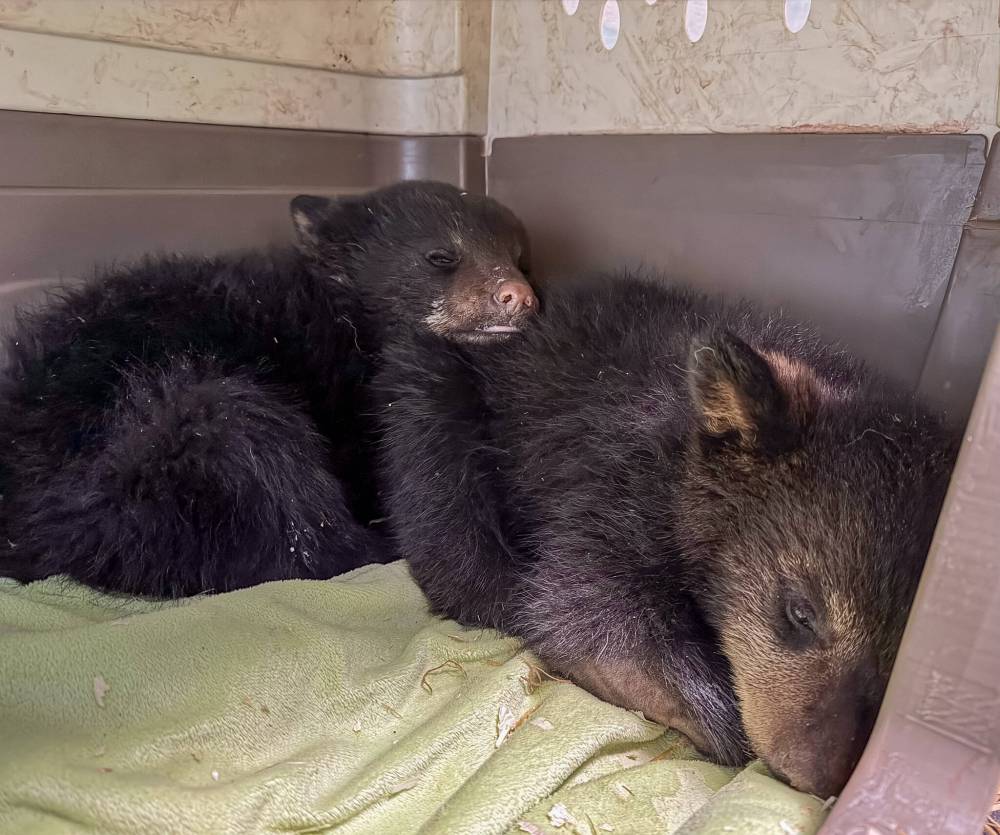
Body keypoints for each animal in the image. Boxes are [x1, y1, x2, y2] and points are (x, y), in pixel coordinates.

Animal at [0, 180, 536, 599]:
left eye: (519, 257)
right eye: (441, 255)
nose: (518, 296)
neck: (350, 323)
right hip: (163, 443)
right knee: (269, 473)